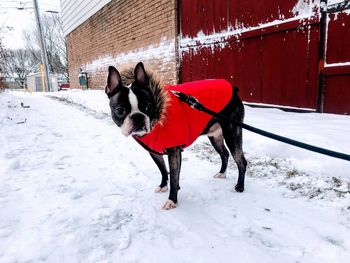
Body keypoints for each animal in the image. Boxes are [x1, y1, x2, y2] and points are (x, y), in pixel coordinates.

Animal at [105, 62, 247, 210]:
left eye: (149, 107)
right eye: (120, 110)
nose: (138, 116)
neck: (159, 118)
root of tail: (233, 89)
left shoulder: (174, 151)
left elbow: (174, 177)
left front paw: (172, 200)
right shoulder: (154, 152)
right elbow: (163, 170)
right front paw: (163, 186)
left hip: (232, 132)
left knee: (241, 160)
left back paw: (239, 186)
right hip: (215, 136)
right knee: (224, 153)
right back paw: (222, 173)